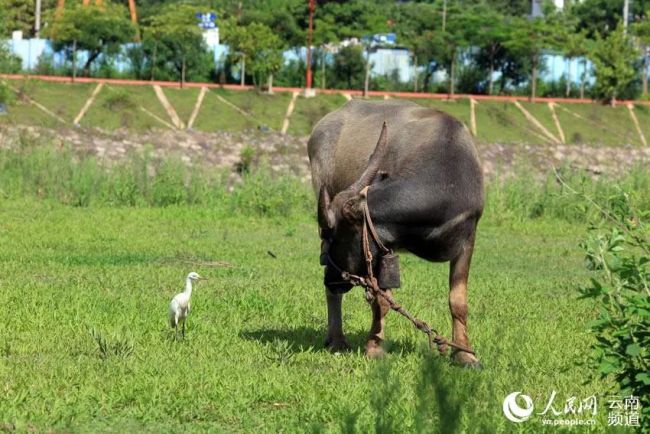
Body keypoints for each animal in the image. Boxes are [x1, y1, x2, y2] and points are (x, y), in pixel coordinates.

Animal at [308, 99, 480, 366]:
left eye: (334, 235)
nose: (332, 280)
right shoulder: (383, 246)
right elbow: (381, 299)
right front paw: (374, 347)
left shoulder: (468, 238)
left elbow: (458, 301)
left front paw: (465, 354)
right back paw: (336, 339)